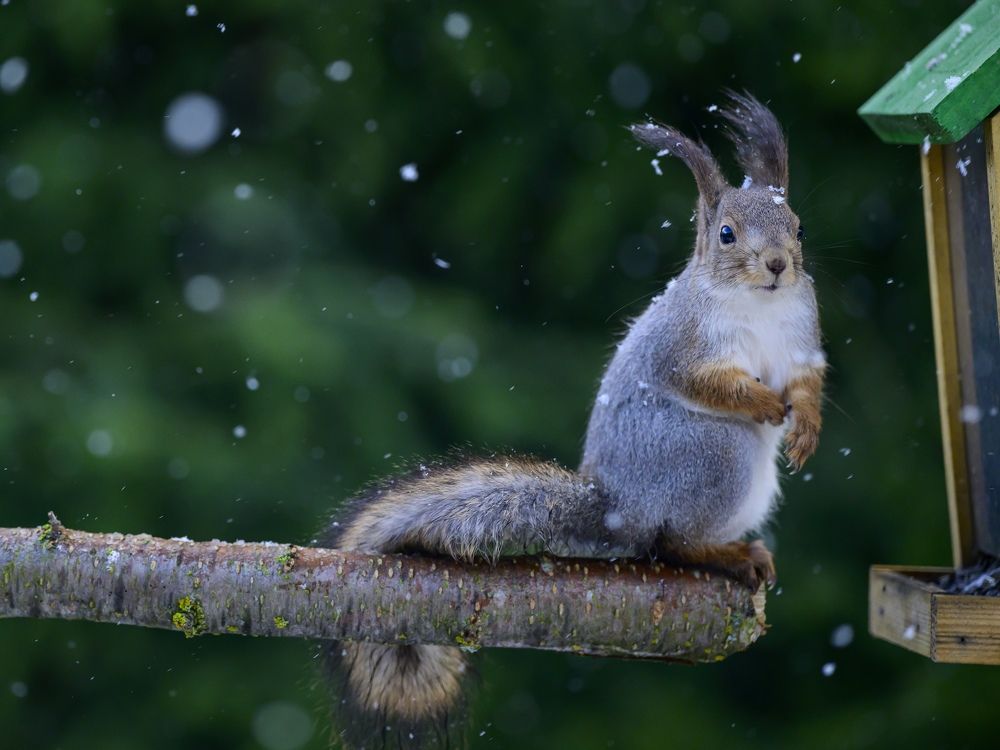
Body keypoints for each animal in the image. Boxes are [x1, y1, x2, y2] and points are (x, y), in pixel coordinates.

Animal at [315, 91, 825, 749]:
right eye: (726, 234)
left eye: (800, 226)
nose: (779, 265)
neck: (758, 305)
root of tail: (616, 506)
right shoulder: (682, 348)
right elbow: (707, 383)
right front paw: (764, 405)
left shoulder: (801, 338)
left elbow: (808, 383)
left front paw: (806, 425)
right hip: (713, 456)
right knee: (669, 541)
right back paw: (725, 554)